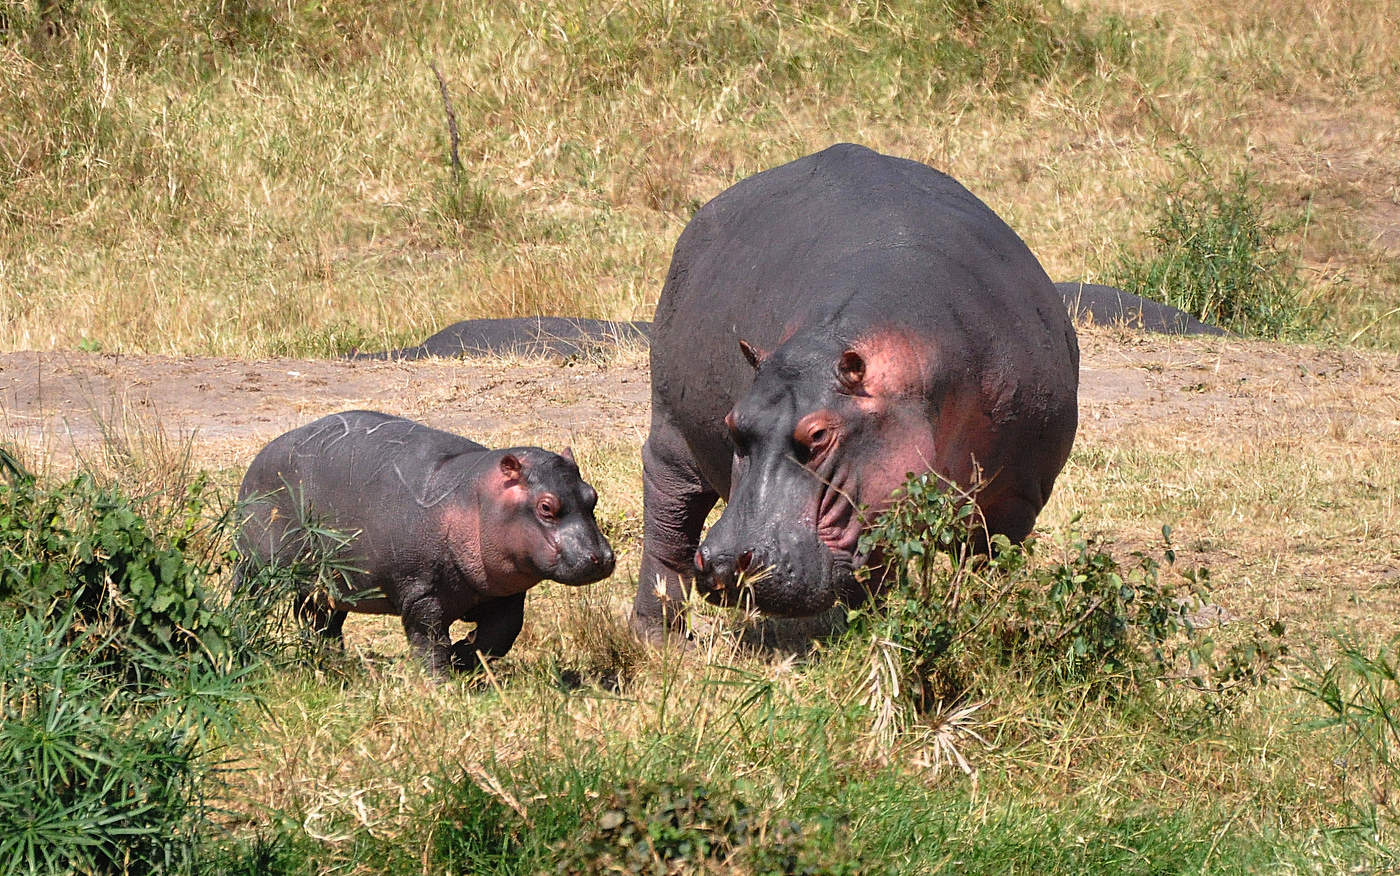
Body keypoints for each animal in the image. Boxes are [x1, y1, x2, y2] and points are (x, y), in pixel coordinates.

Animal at [235, 411, 613, 674]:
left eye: (592, 495)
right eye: (546, 507)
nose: (603, 558)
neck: (474, 497)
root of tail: (260, 456)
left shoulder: (504, 593)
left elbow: (500, 635)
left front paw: (463, 656)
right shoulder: (420, 592)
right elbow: (429, 639)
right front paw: (440, 680)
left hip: (329, 582)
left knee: (319, 620)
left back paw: (333, 662)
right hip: (256, 565)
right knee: (251, 600)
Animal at [635, 144, 1080, 635]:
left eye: (818, 435)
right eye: (733, 423)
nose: (724, 564)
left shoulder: (1015, 497)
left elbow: (988, 563)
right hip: (671, 438)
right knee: (668, 529)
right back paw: (662, 639)